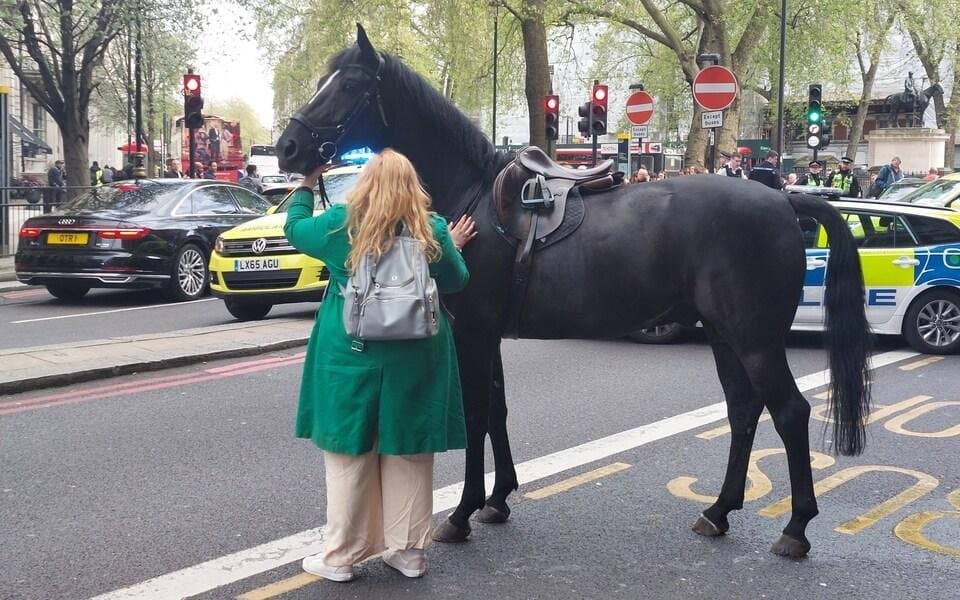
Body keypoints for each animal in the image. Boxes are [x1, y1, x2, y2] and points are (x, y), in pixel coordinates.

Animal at [276, 25, 873, 559]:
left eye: (351, 84)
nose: (288, 147)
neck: (475, 196)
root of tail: (784, 199)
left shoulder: (473, 333)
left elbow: (476, 415)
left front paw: (462, 513)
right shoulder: (489, 335)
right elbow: (498, 411)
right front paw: (497, 500)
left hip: (755, 339)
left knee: (790, 412)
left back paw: (796, 527)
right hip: (725, 335)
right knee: (745, 410)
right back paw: (720, 510)